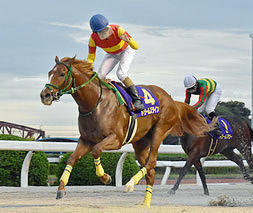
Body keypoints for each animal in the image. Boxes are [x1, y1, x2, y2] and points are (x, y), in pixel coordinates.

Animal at [40, 55, 213, 207]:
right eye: (49, 73)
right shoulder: (86, 140)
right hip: (140, 143)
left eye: (62, 74)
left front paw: (105, 177)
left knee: (151, 162)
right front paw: (61, 189)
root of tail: (172, 100)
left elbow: (96, 150)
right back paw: (145, 203)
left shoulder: (116, 139)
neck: (95, 103)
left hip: (160, 131)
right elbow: (71, 159)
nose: (45, 95)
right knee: (150, 169)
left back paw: (130, 184)